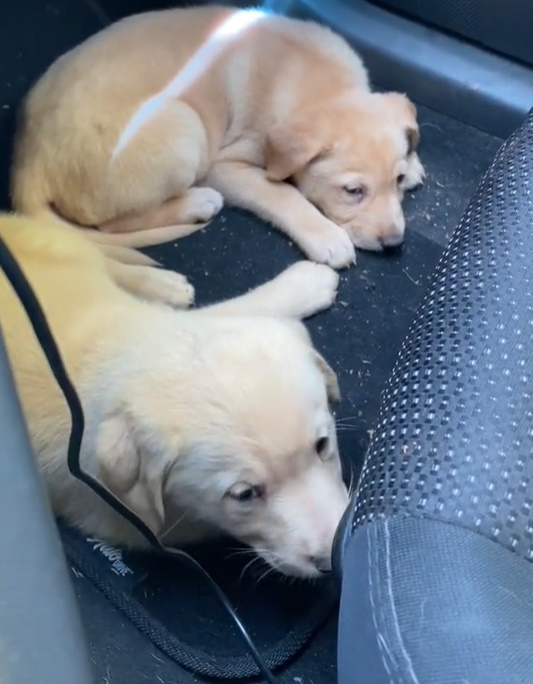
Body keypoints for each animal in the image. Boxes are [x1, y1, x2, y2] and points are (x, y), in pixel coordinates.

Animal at [0, 214, 350, 576]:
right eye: (244, 494)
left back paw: (162, 283)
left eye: (322, 446)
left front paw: (304, 285)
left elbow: (233, 310)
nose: (334, 561)